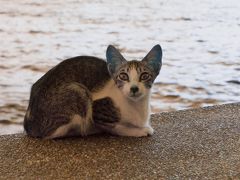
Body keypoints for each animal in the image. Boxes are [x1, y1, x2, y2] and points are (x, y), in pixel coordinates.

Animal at [23, 44, 162, 139]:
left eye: (144, 76)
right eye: (123, 76)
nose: (134, 88)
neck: (136, 106)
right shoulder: (98, 110)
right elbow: (116, 127)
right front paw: (139, 131)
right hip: (78, 91)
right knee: (53, 134)